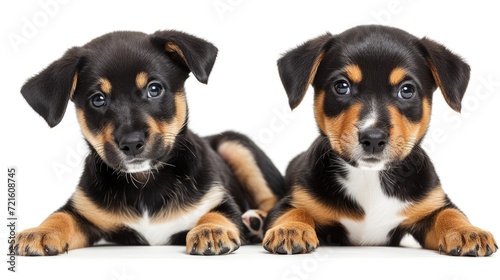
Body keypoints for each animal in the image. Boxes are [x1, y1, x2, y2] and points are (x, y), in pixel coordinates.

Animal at [13, 30, 284, 256]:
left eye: (154, 89)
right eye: (98, 99)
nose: (132, 144)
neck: (145, 182)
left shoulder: (219, 200)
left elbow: (216, 214)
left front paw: (210, 231)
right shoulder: (84, 211)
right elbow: (61, 217)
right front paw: (40, 231)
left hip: (235, 144)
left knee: (272, 199)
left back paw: (257, 221)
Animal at [264, 25, 498, 258]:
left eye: (407, 90)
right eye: (341, 86)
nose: (373, 139)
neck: (370, 177)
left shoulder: (432, 205)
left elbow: (449, 214)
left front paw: (467, 232)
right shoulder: (292, 201)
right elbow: (296, 210)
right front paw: (291, 229)